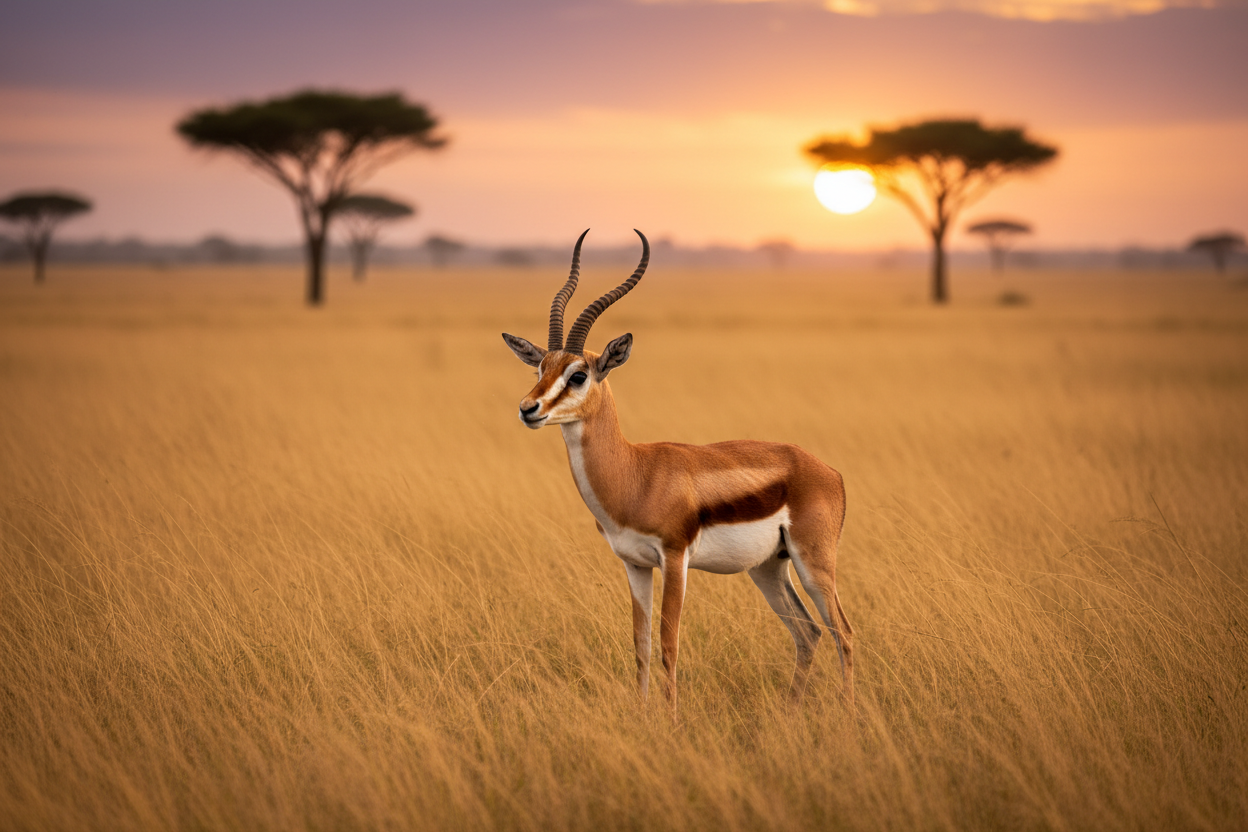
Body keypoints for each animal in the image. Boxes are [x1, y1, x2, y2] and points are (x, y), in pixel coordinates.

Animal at [502, 229, 853, 709]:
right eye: (540, 367)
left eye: (578, 375)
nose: (528, 409)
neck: (635, 475)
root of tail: (828, 471)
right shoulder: (634, 565)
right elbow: (642, 645)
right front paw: (643, 714)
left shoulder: (674, 558)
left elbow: (670, 645)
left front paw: (670, 720)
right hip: (767, 567)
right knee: (808, 631)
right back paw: (791, 712)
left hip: (814, 562)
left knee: (843, 633)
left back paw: (851, 715)